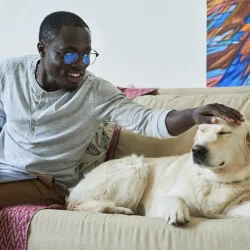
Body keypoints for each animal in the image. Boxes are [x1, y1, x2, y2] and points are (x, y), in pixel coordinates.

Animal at [66, 119, 250, 227]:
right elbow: (174, 199)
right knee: (79, 204)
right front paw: (176, 212)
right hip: (135, 169)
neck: (214, 180)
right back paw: (120, 210)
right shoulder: (160, 199)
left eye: (224, 132)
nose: (197, 150)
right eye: (202, 131)